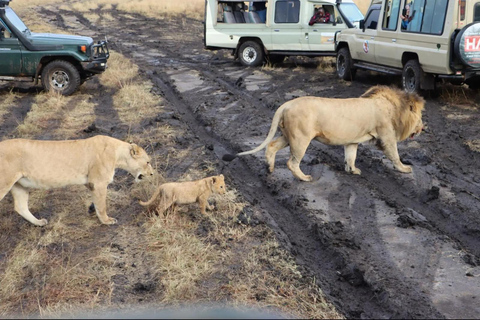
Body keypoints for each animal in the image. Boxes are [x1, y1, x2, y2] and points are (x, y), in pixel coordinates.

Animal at [0, 135, 154, 228]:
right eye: (147, 162)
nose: (152, 174)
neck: (117, 154)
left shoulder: (90, 182)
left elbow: (96, 202)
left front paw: (92, 209)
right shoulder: (98, 182)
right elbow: (102, 205)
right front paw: (106, 221)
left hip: (19, 185)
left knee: (20, 207)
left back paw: (39, 222)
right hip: (4, 183)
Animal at [221, 85, 424, 181]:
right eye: (420, 117)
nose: (423, 128)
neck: (396, 108)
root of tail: (286, 104)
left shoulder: (352, 141)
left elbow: (350, 156)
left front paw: (352, 170)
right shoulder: (386, 135)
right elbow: (394, 154)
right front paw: (405, 169)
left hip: (288, 135)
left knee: (271, 146)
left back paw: (269, 168)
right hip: (300, 138)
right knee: (291, 162)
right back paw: (304, 178)